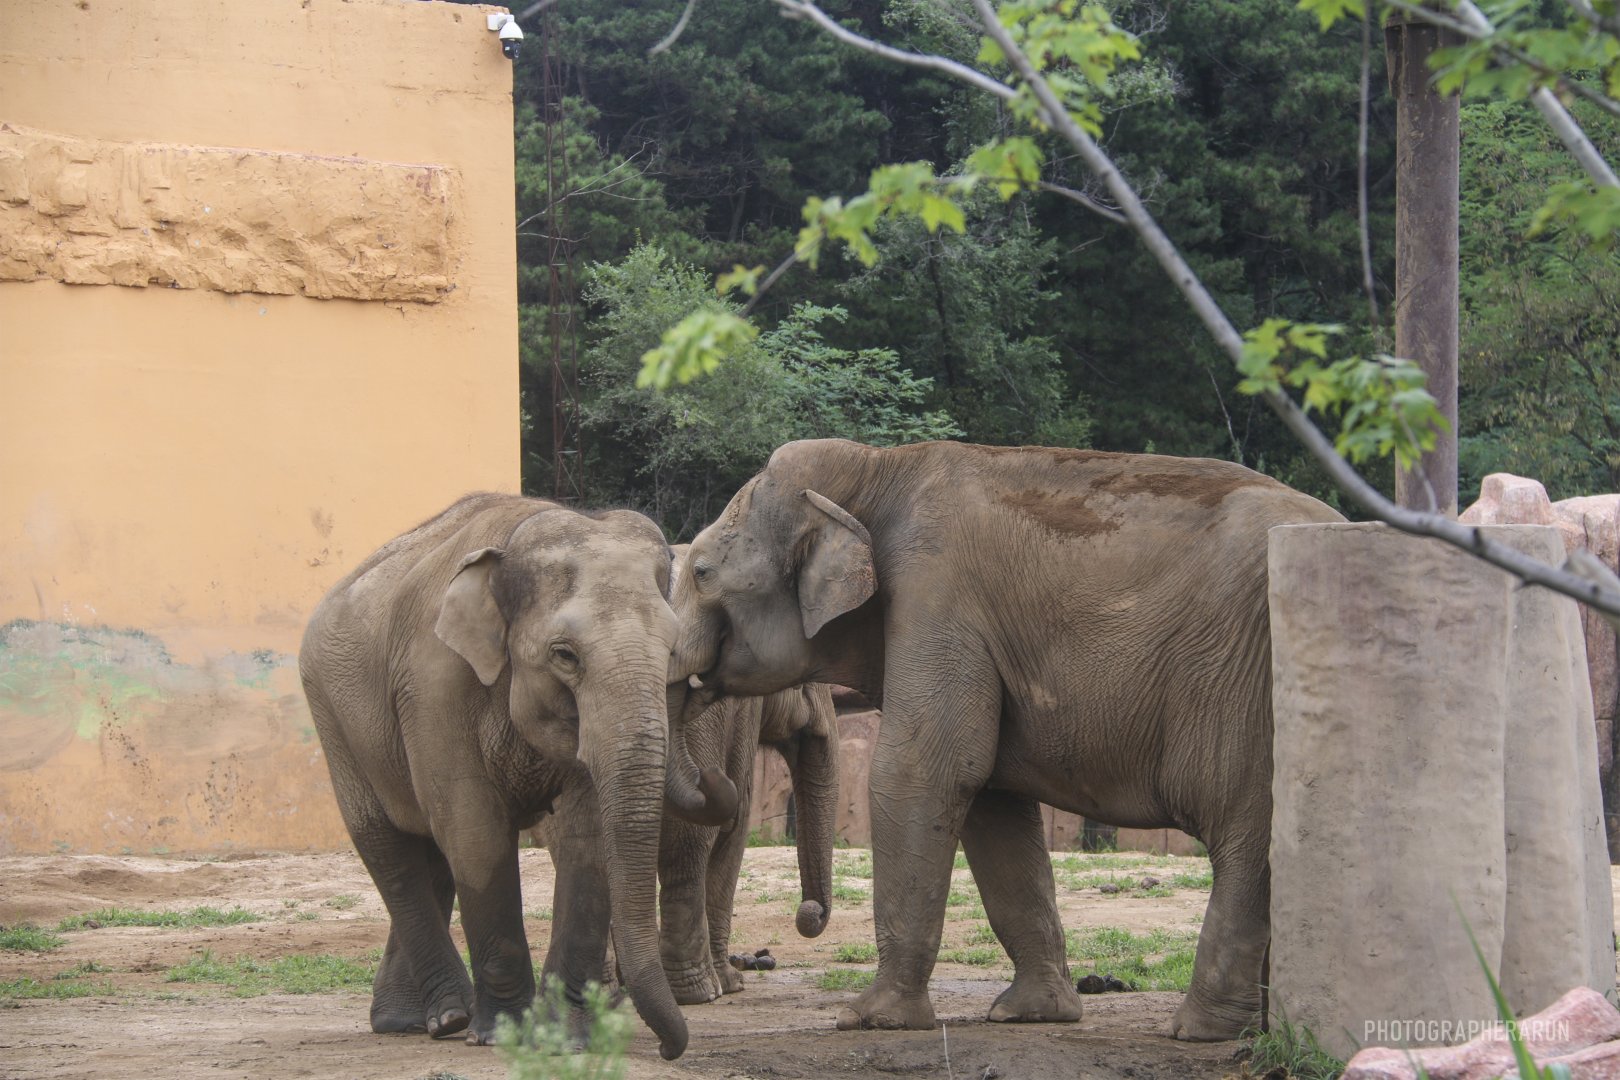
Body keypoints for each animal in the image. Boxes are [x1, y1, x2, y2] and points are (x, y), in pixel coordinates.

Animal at [299, 493, 735, 1059]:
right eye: (564, 655)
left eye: (671, 652)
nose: (667, 1049)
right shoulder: (433, 685)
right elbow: (476, 835)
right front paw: (500, 1035)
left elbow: (585, 838)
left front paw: (564, 1040)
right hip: (334, 721)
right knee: (389, 849)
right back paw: (448, 1016)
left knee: (432, 852)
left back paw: (418, 1020)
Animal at [669, 438, 1344, 1042]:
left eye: (700, 572)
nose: (807, 919)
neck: (877, 464)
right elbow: (992, 801)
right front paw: (1032, 1014)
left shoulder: (935, 597)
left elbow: (922, 773)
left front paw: (870, 1020)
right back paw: (1253, 1031)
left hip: (1250, 692)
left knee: (1247, 844)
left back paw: (1198, 1031)